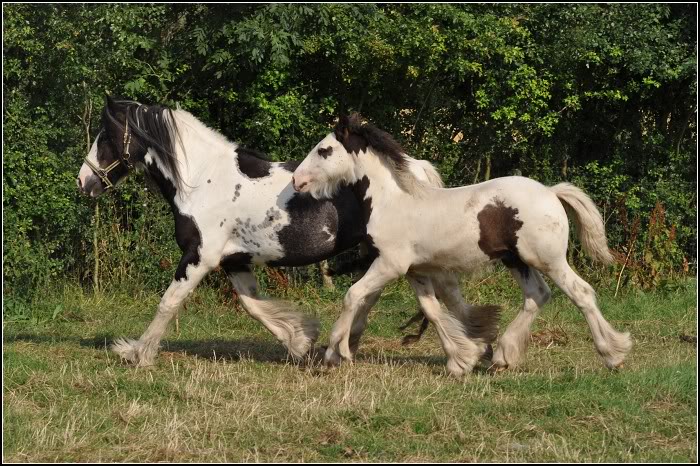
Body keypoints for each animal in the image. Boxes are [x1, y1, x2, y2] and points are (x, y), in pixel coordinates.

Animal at [76, 97, 498, 368]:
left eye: (105, 135)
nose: (84, 181)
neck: (201, 182)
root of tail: (416, 166)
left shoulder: (199, 257)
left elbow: (169, 303)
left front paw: (136, 353)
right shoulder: (234, 261)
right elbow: (252, 305)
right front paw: (300, 341)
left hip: (400, 255)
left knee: (424, 298)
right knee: (424, 297)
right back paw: (469, 348)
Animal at [292, 113, 632, 374]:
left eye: (324, 150)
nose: (297, 180)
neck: (393, 202)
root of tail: (551, 191)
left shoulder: (390, 264)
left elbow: (353, 295)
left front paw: (335, 352)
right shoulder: (416, 271)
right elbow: (432, 311)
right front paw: (461, 360)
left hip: (548, 259)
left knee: (581, 293)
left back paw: (613, 355)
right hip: (515, 259)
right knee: (537, 295)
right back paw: (503, 356)